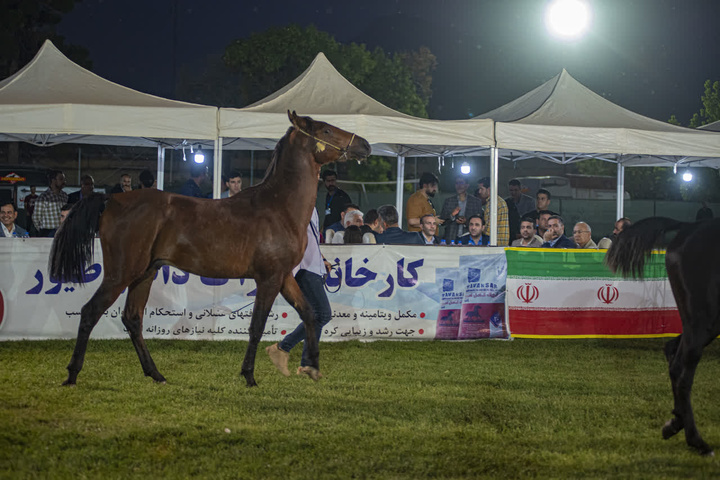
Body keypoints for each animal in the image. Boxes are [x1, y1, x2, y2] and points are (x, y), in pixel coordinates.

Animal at [49, 111, 372, 386]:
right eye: (326, 129)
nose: (366, 145)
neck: (279, 207)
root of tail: (111, 201)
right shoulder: (268, 278)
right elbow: (256, 326)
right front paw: (249, 376)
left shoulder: (284, 277)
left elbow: (309, 314)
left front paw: (312, 367)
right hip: (121, 273)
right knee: (90, 312)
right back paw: (72, 375)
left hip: (145, 273)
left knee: (132, 319)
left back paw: (156, 374)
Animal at [608, 216, 720, 456]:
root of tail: (690, 227)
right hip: (704, 318)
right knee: (683, 370)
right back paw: (696, 440)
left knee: (673, 353)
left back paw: (675, 423)